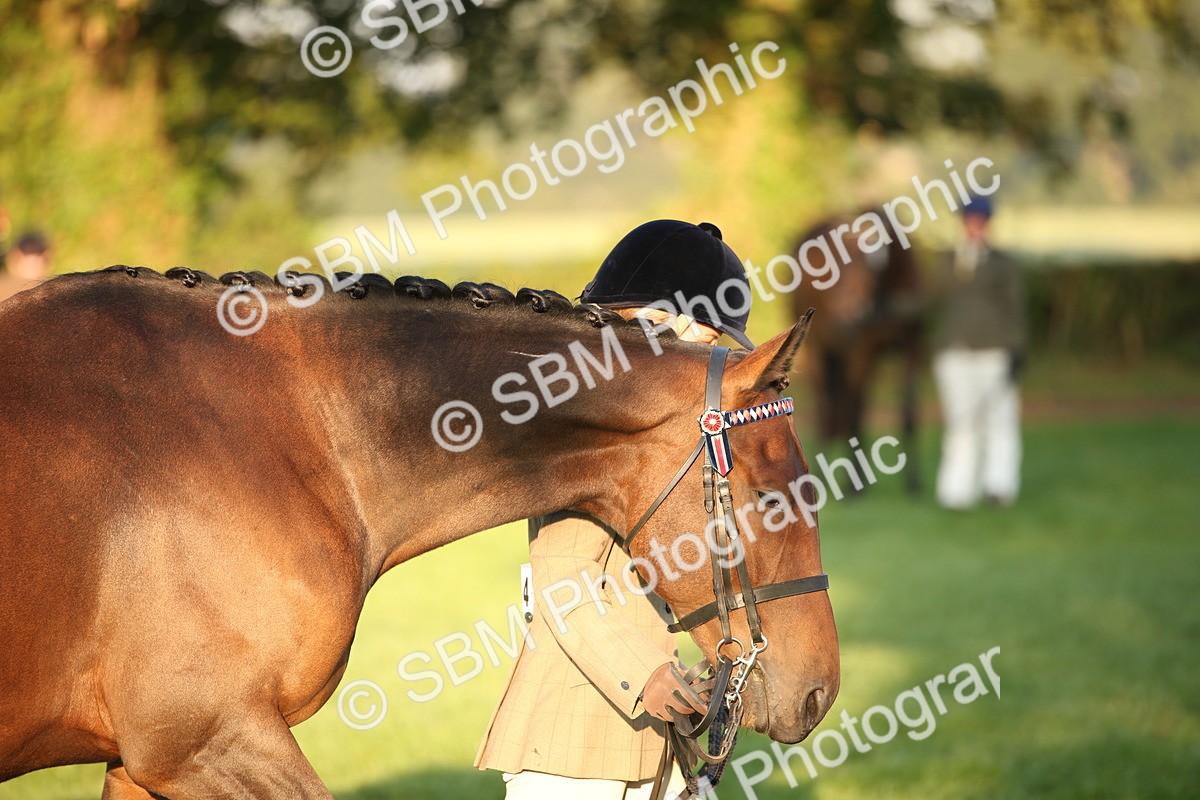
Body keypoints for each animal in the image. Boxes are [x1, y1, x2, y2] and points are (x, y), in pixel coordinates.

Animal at [789, 209, 926, 494]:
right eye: (834, 267)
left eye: (870, 269)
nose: (848, 318)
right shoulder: (860, 350)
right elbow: (852, 406)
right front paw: (854, 484)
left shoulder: (913, 347)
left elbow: (908, 409)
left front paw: (913, 481)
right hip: (818, 351)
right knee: (827, 403)